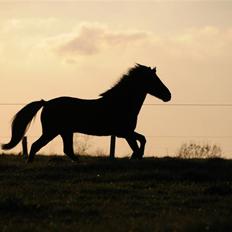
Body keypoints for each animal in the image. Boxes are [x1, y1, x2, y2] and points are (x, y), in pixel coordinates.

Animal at [1, 63, 171, 161]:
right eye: (154, 80)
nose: (168, 95)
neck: (120, 103)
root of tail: (46, 102)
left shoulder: (125, 133)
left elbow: (142, 139)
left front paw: (136, 156)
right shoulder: (124, 132)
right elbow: (139, 142)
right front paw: (135, 157)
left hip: (65, 132)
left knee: (67, 150)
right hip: (52, 131)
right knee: (36, 146)